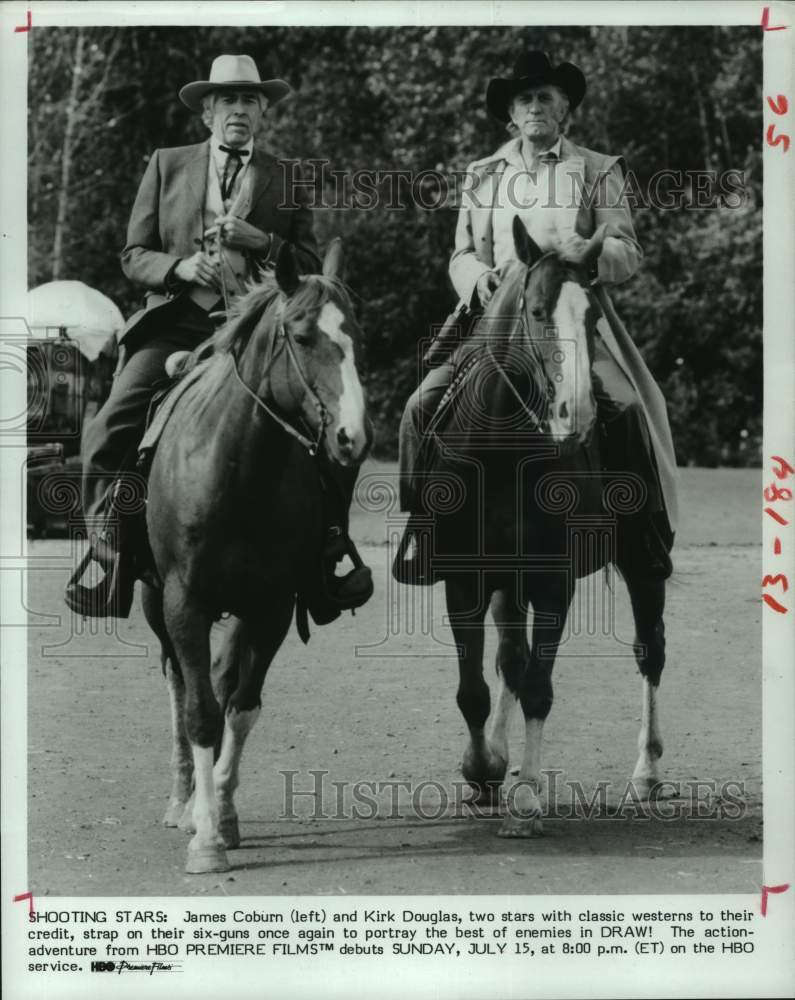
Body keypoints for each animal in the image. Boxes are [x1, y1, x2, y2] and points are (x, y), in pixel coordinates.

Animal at [139, 238, 370, 872]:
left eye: (357, 336)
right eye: (302, 335)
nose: (352, 438)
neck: (239, 469)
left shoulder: (271, 607)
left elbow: (241, 706)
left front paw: (221, 816)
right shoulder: (184, 603)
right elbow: (198, 709)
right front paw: (204, 841)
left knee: (222, 682)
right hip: (154, 603)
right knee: (177, 684)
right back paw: (181, 800)